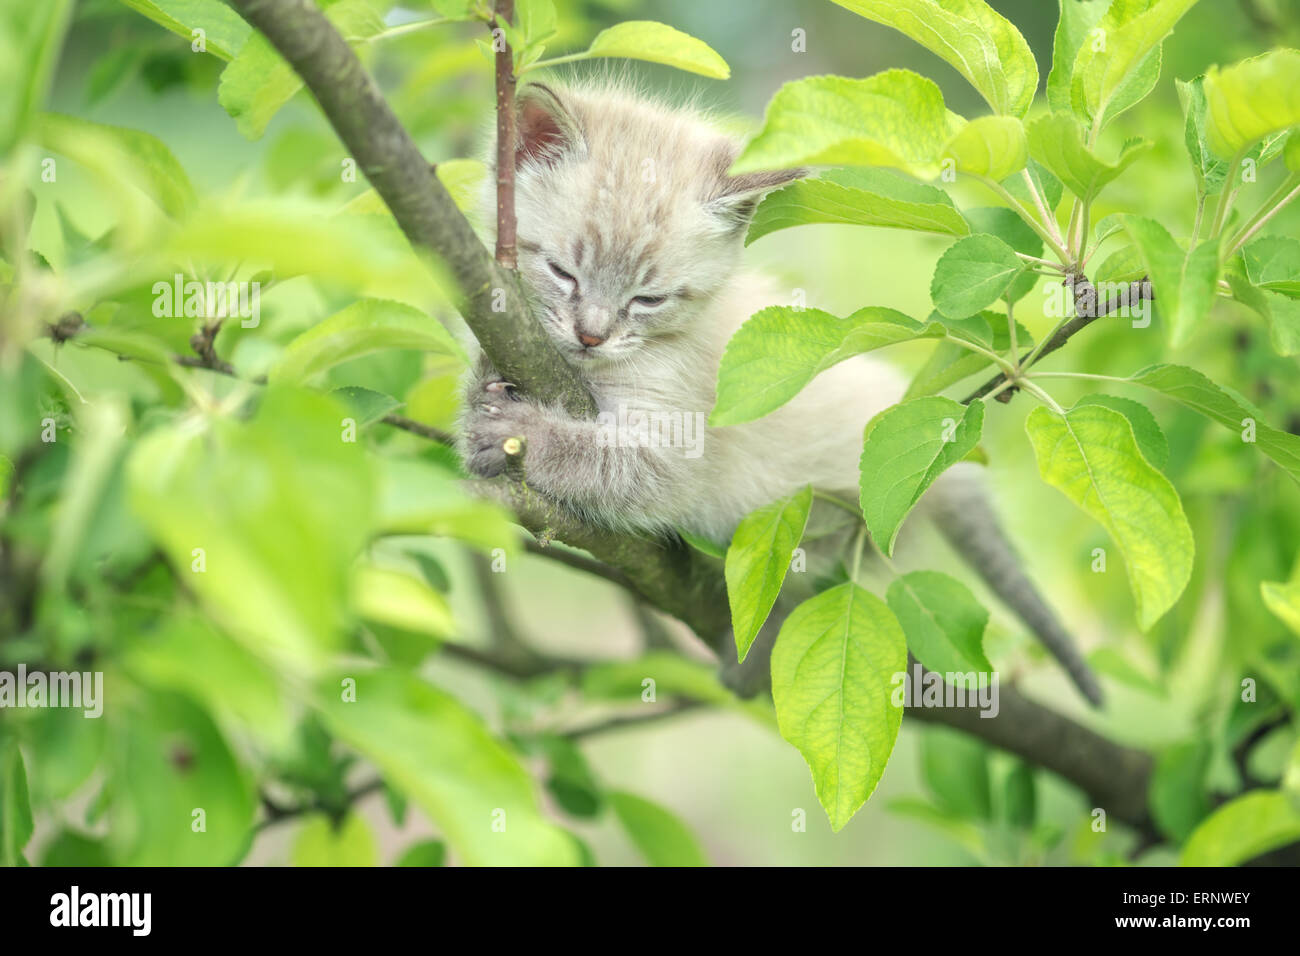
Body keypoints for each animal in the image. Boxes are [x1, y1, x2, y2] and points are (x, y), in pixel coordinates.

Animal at [462, 82, 1102, 707]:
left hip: (828, 513)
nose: (591, 335)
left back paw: (751, 658)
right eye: (562, 272)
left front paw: (520, 433)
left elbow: (604, 463)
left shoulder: (675, 450)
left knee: (802, 581)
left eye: (649, 299)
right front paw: (482, 392)